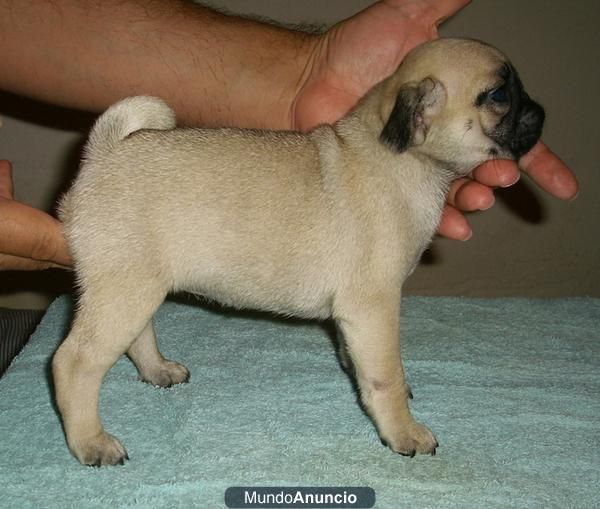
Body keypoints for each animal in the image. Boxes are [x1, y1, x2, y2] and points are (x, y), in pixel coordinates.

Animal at [54, 37, 548, 464]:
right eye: (499, 95)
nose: (541, 111)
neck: (405, 158)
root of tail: (103, 155)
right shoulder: (375, 306)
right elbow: (386, 376)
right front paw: (403, 430)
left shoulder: (357, 317)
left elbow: (360, 360)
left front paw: (357, 373)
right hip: (123, 289)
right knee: (74, 362)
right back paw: (91, 442)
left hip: (139, 285)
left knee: (137, 335)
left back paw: (157, 370)